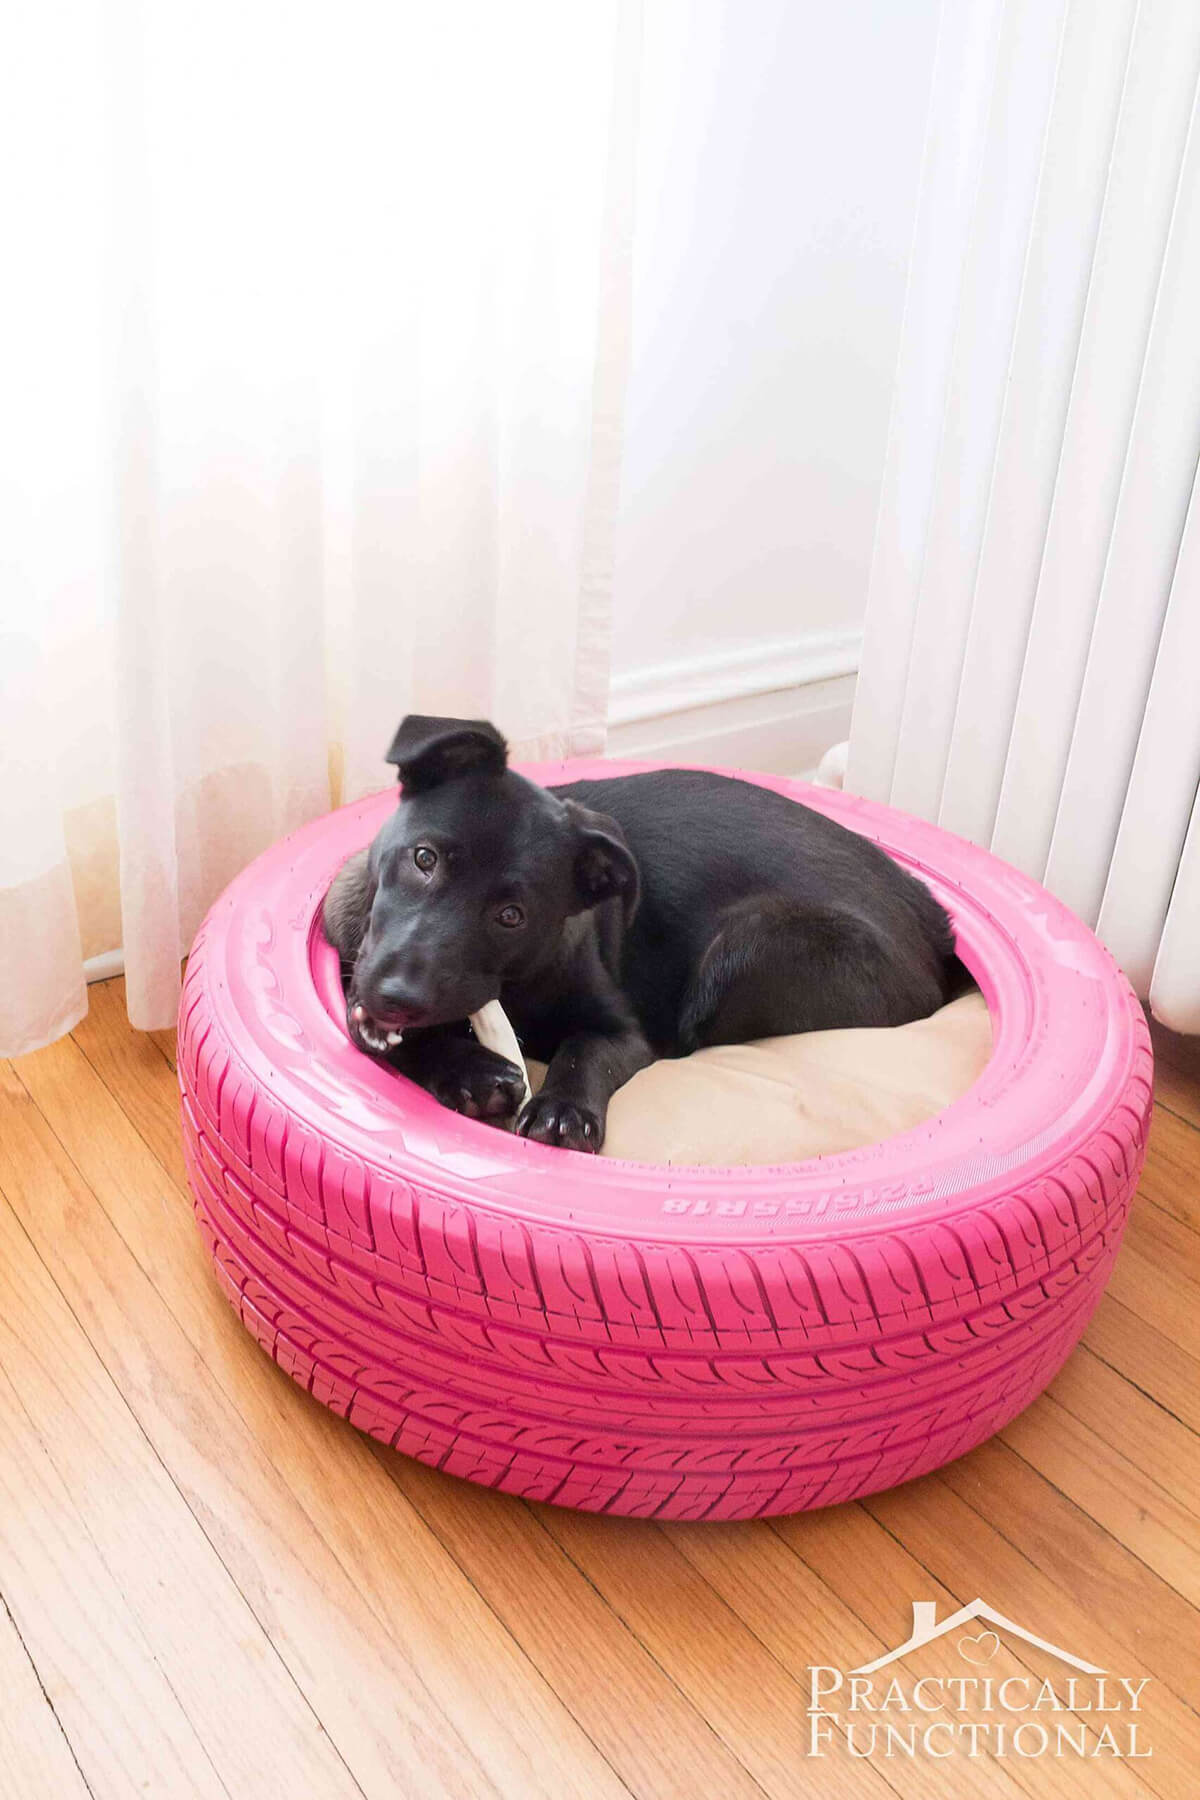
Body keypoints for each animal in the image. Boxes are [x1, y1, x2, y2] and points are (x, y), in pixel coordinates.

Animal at [323, 716, 964, 1152]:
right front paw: (471, 1071)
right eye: (424, 858)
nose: (399, 998)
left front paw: (562, 1110)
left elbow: (585, 1051)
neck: (518, 984)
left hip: (747, 945)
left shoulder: (625, 1032)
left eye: (512, 915)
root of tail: (937, 925)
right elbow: (386, 1038)